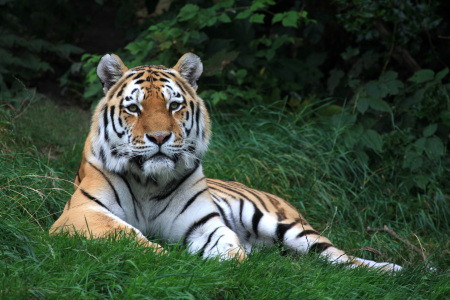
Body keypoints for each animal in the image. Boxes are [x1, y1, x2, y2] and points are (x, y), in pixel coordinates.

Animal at [51, 52, 402, 272]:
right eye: (134, 109)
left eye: (174, 105)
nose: (160, 137)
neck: (149, 182)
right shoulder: (80, 213)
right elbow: (125, 234)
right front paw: (165, 259)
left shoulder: (202, 223)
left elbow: (227, 244)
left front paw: (233, 265)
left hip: (286, 226)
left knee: (337, 256)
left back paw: (392, 270)